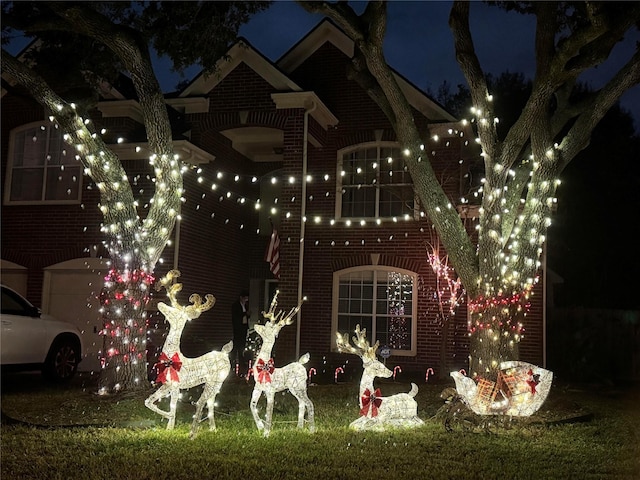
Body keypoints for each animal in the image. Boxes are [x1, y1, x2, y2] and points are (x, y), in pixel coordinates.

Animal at [145, 270, 232, 438]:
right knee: (210, 404)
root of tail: (225, 353)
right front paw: (168, 425)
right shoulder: (166, 384)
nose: (160, 304)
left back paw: (192, 434)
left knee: (200, 402)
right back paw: (212, 429)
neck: (172, 356)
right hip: (215, 383)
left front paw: (170, 425)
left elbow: (173, 406)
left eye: (176, 312)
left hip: (215, 381)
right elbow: (148, 401)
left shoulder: (175, 386)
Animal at [252, 290, 318, 436]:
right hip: (294, 389)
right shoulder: (258, 387)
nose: (255, 325)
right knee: (301, 404)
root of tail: (301, 364)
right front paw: (260, 427)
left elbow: (269, 411)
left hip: (300, 387)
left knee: (309, 403)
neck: (264, 365)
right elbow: (252, 405)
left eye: (267, 327)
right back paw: (299, 427)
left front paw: (266, 433)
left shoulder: (270, 391)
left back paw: (311, 430)